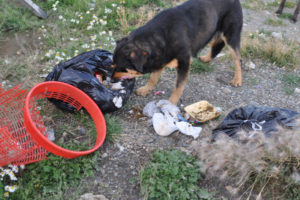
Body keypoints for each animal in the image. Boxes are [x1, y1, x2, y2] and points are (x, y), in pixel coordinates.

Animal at [113, 0, 243, 104]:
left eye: (123, 68)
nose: (111, 79)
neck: (162, 37)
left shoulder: (184, 62)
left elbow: (178, 87)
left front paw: (171, 103)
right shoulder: (161, 59)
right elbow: (153, 78)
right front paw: (146, 89)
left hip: (231, 35)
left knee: (237, 58)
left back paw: (237, 79)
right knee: (216, 44)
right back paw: (206, 58)